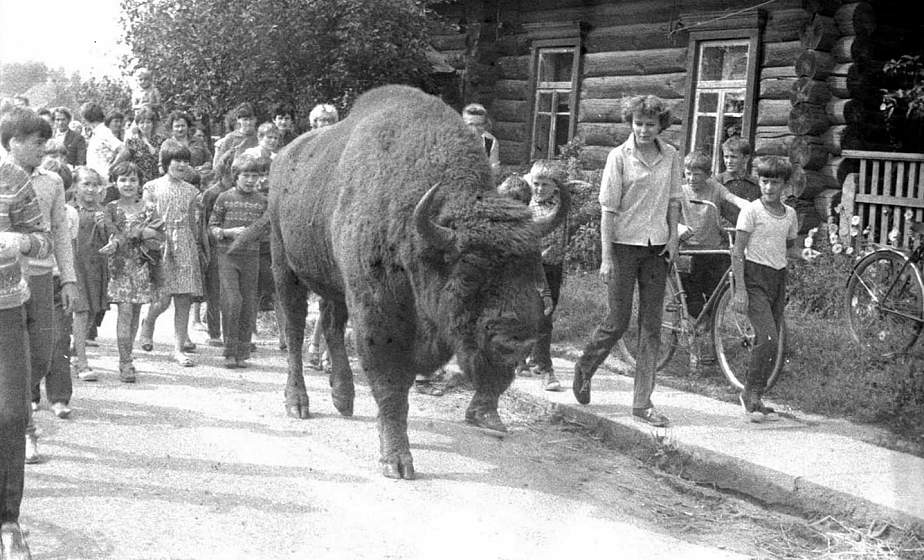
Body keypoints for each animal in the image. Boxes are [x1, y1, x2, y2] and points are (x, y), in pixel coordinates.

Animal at [256, 85, 568, 480]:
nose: (516, 340)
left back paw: (344, 397)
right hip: (286, 268)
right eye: (469, 272)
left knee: (330, 324)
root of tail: (283, 158)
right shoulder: (378, 317)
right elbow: (392, 386)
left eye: (531, 267)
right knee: (295, 331)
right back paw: (298, 402)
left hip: (334, 283)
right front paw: (397, 460)